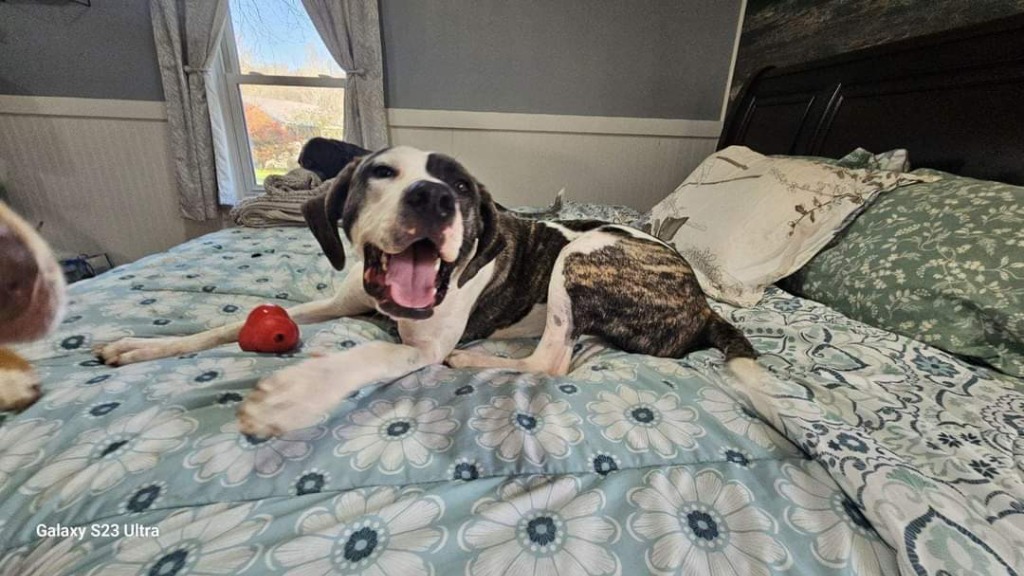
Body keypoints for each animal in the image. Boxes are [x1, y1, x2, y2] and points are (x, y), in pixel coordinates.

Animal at [96, 145, 765, 432]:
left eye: (463, 187)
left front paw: (292, 396)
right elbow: (226, 325)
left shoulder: (419, 346)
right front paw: (141, 347)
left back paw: (476, 360)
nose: (434, 198)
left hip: (579, 255)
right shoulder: (339, 301)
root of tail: (704, 304)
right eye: (380, 172)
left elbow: (365, 355)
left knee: (551, 360)